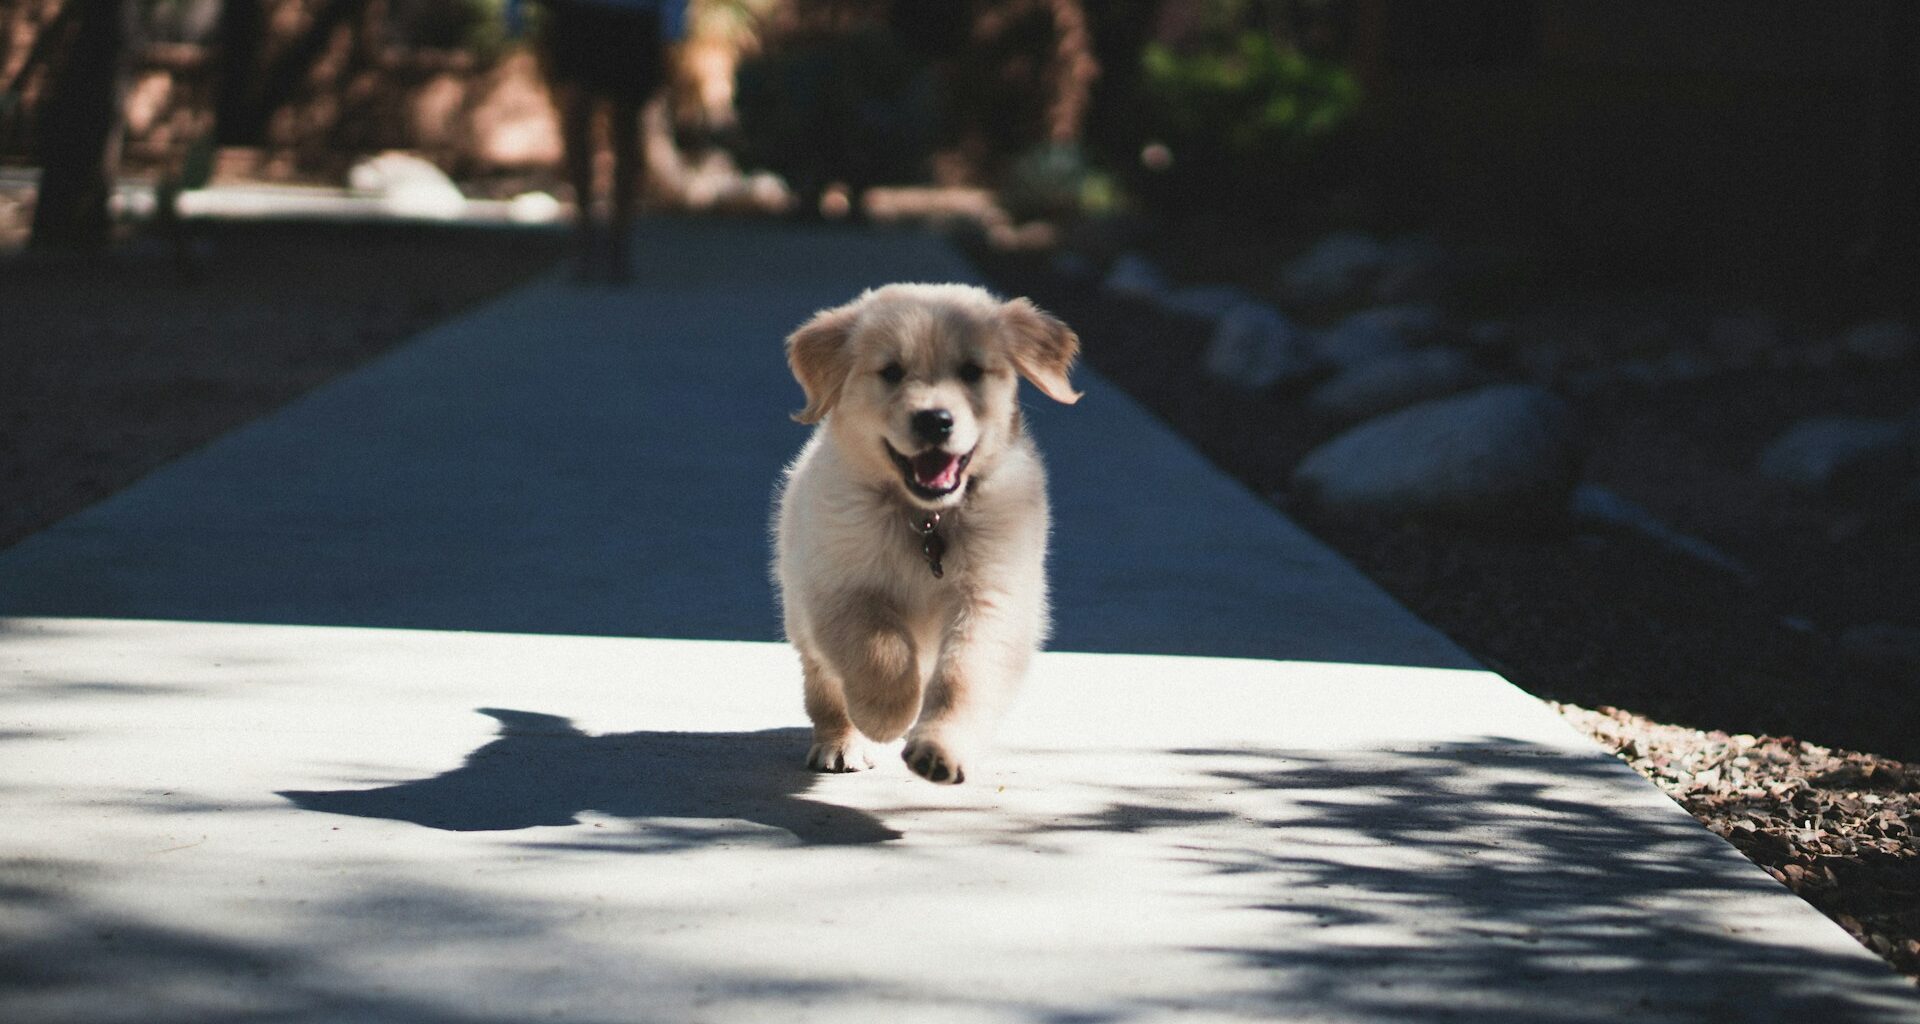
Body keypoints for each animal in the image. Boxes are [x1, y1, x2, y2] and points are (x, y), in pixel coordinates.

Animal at [775, 284, 1082, 787]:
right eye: (891, 372)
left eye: (972, 371)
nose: (934, 420)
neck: (926, 519)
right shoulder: (838, 587)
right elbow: (878, 648)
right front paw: (886, 714)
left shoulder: (992, 597)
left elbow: (964, 676)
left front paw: (940, 749)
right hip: (800, 613)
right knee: (824, 686)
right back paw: (841, 742)